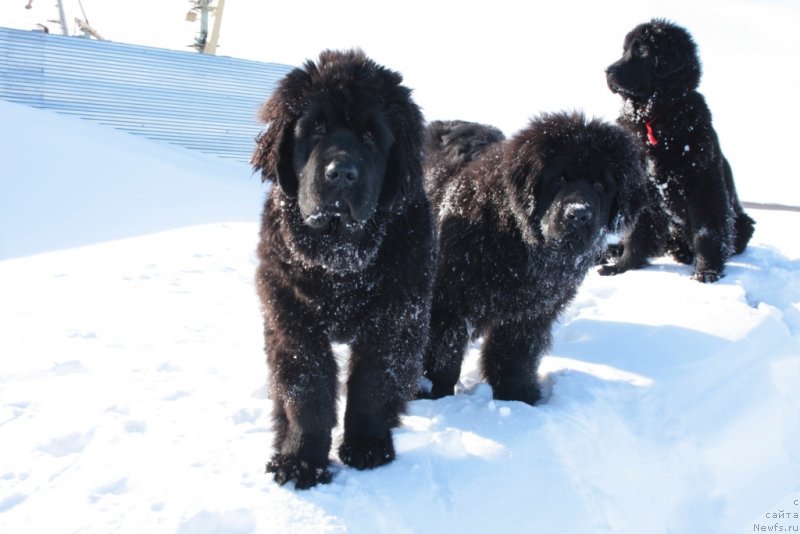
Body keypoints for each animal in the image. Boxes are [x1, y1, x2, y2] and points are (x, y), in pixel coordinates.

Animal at [252, 50, 434, 490]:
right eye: (316, 128)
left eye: (371, 136)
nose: (341, 174)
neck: (340, 265)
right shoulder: (292, 318)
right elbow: (307, 391)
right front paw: (300, 461)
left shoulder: (395, 319)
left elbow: (372, 385)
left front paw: (367, 445)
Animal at [422, 114, 648, 406]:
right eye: (560, 177)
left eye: (601, 184)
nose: (578, 214)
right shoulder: (447, 302)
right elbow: (441, 358)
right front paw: (432, 394)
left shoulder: (531, 312)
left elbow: (512, 359)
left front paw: (517, 398)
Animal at [604, 18, 752, 282]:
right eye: (625, 50)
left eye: (642, 51)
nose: (608, 71)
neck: (656, 118)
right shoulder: (644, 188)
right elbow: (636, 234)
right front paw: (623, 267)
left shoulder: (703, 185)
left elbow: (706, 234)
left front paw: (707, 272)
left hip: (742, 223)